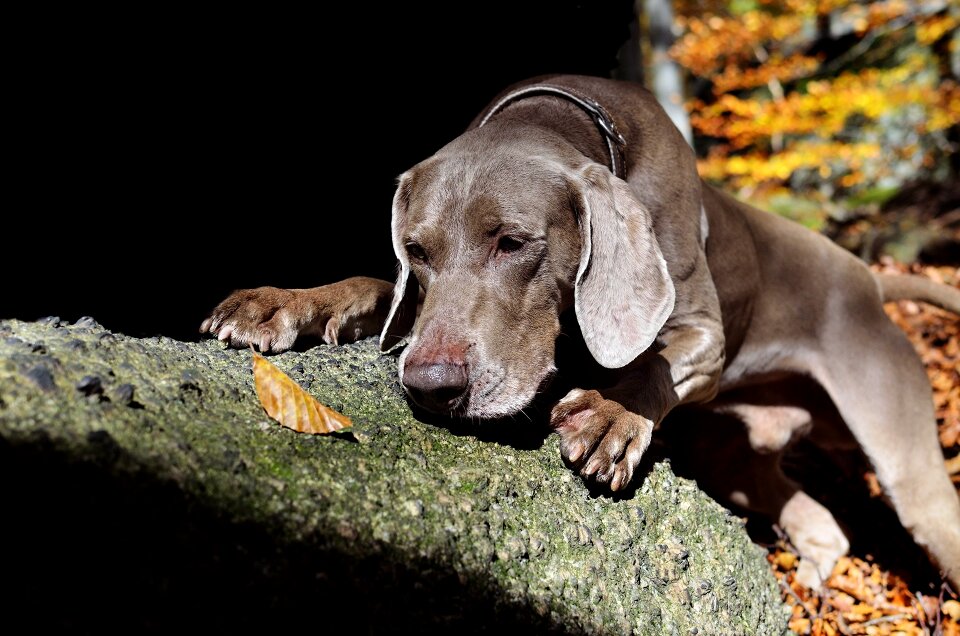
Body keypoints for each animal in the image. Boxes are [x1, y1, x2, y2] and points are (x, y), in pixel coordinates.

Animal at [202, 76, 960, 592]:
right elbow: (373, 289)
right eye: (416, 250)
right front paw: (281, 303)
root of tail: (868, 279)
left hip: (908, 467)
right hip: (730, 452)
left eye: (513, 243)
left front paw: (609, 416)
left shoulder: (703, 332)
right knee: (801, 510)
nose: (432, 387)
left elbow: (653, 362)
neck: (575, 114)